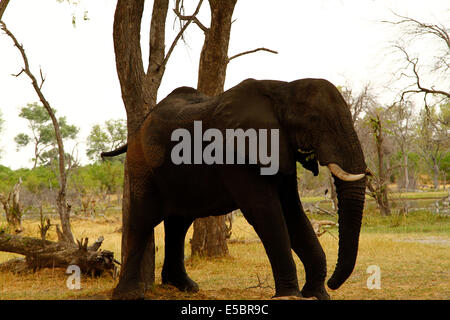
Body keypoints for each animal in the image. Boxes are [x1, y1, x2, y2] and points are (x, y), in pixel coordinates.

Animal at [104, 77, 370, 300]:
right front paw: (290, 296)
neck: (283, 88)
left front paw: (316, 295)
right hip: (142, 165)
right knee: (143, 220)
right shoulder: (234, 154)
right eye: (314, 120)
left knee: (178, 223)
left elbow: (293, 212)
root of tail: (138, 128)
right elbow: (265, 211)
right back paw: (128, 294)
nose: (334, 283)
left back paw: (184, 287)